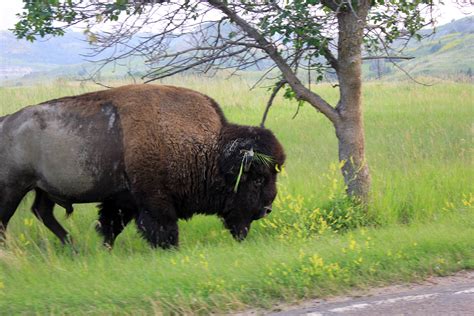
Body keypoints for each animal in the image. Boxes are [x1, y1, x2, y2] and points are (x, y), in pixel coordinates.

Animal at [0, 84, 286, 249]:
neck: (210, 149)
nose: (267, 209)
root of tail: (6, 121)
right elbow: (163, 228)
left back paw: (73, 246)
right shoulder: (154, 200)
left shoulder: (123, 200)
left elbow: (110, 224)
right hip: (13, 188)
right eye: (257, 179)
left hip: (43, 189)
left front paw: (106, 248)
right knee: (6, 219)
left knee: (42, 212)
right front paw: (170, 249)